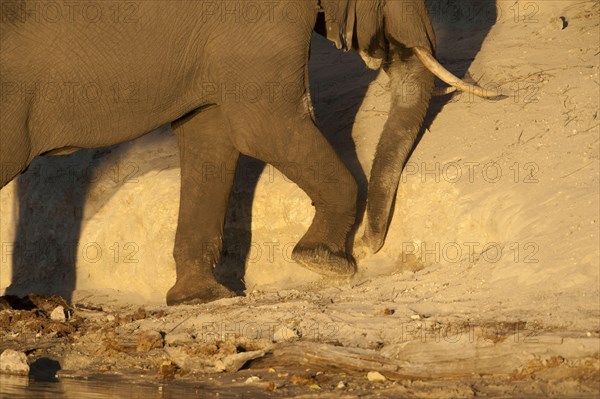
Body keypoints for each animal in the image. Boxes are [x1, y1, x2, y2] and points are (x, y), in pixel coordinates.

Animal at [1, 0, 496, 306]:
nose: (371, 246)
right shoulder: (257, 23)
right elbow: (264, 126)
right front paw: (326, 263)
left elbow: (212, 138)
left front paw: (202, 299)